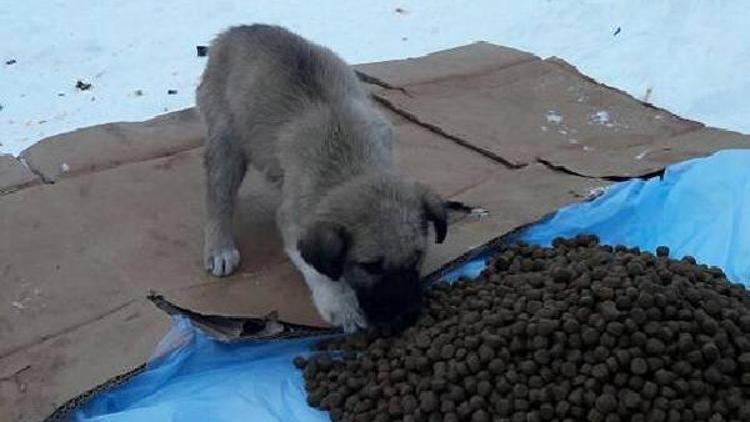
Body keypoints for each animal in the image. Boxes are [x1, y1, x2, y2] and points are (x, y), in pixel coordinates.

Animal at [197, 23, 450, 332]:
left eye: (416, 257)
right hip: (225, 142)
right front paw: (342, 305)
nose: (408, 318)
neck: (351, 161)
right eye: (370, 267)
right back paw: (220, 248)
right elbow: (319, 271)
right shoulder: (294, 219)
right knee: (217, 198)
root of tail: (232, 32)